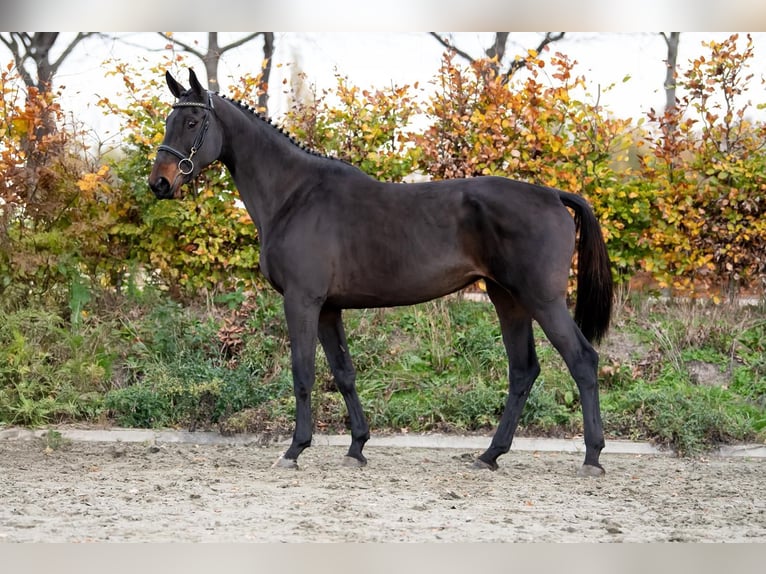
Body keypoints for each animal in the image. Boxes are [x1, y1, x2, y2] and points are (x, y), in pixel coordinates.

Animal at [149, 69, 614, 476]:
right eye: (169, 120)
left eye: (192, 121)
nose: (159, 183)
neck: (295, 194)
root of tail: (552, 195)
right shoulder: (328, 308)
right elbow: (344, 373)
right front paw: (357, 447)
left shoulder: (302, 301)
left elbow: (304, 372)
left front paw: (295, 449)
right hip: (508, 299)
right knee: (523, 370)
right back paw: (489, 456)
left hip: (542, 299)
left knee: (581, 360)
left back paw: (591, 457)